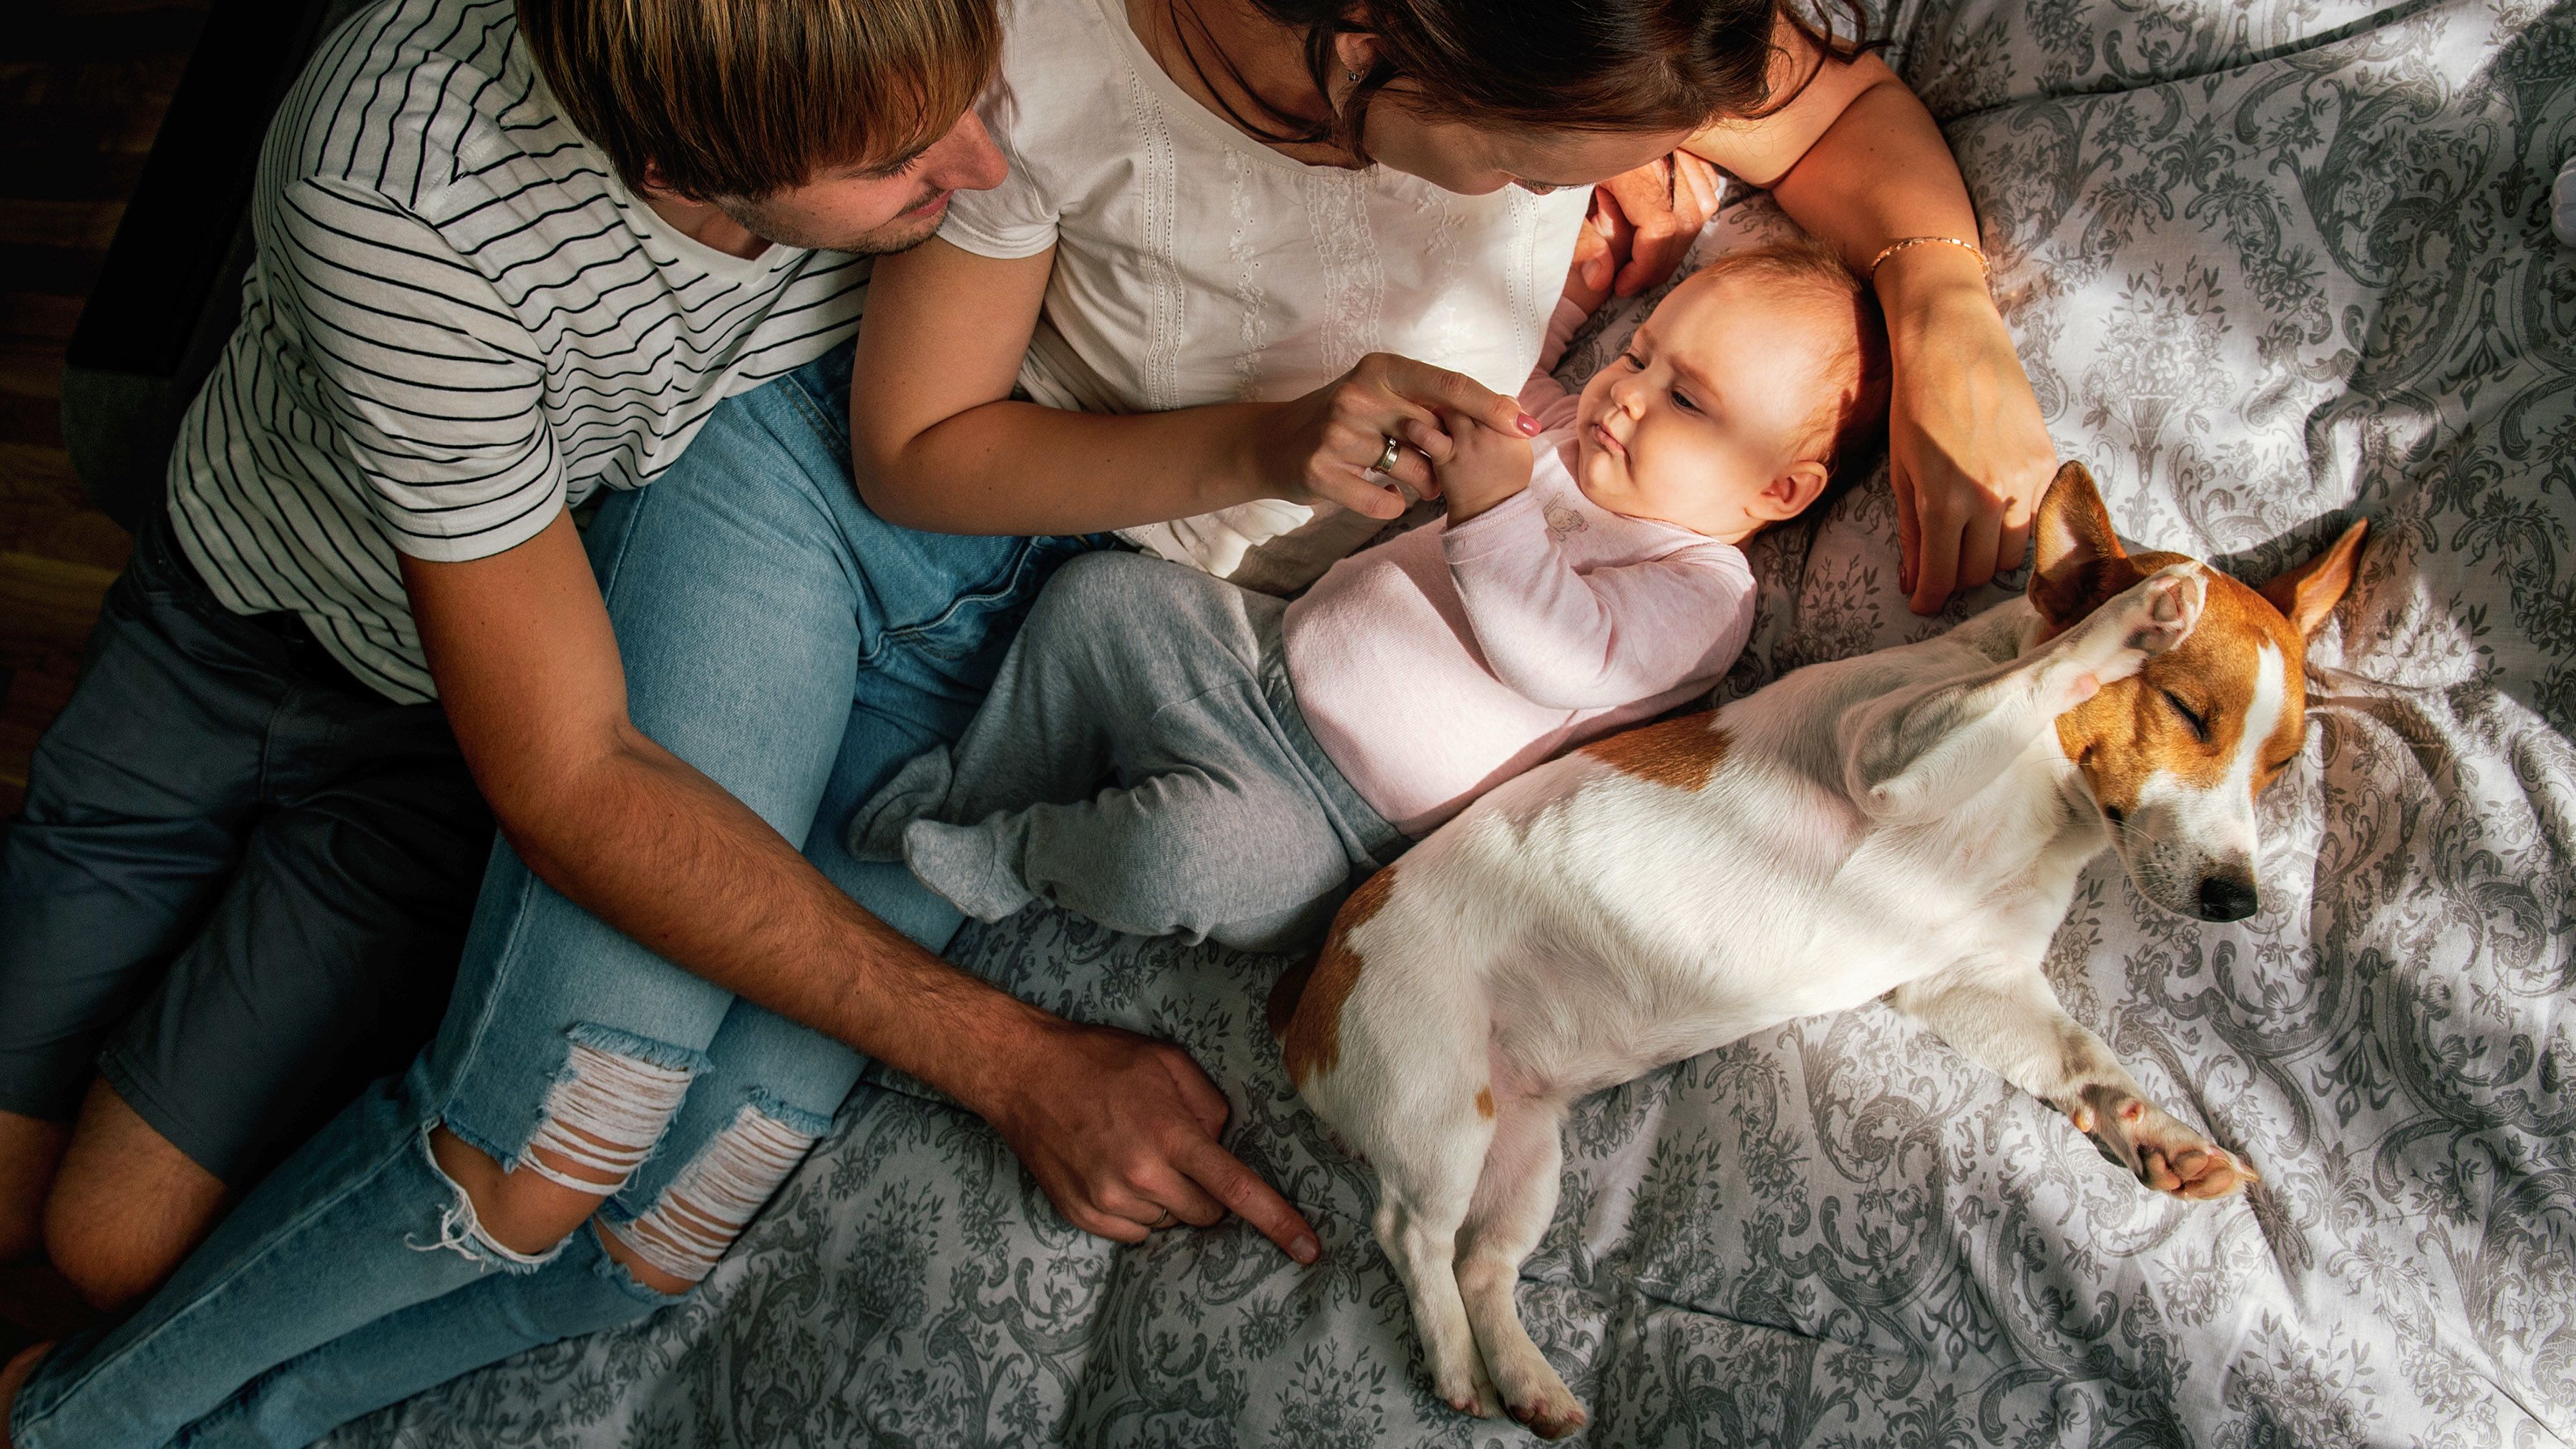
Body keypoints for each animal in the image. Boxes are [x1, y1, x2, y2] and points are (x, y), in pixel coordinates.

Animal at [1267, 461, 2370, 1433]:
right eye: (2186, 711)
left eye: (2278, 767)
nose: (2237, 901)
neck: (2054, 806)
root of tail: (1312, 978)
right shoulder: (1890, 753)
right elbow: (2039, 673)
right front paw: (2134, 619)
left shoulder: (1970, 981)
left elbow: (2084, 1059)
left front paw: (2158, 1134)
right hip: (1437, 1111)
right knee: (1411, 1236)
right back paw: (1454, 1364)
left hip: (1523, 1147)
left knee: (1481, 1264)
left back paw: (1527, 1382)